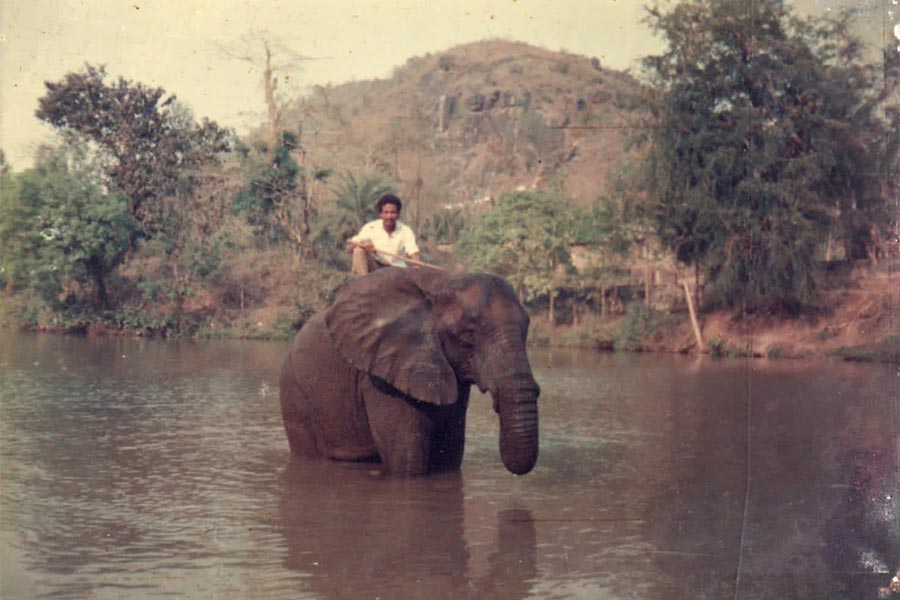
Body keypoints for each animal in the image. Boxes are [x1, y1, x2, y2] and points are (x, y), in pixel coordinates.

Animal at [278, 267, 540, 476]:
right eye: (468, 335)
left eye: (527, 329)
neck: (442, 282)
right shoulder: (381, 376)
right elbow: (407, 460)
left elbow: (449, 455)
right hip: (296, 399)